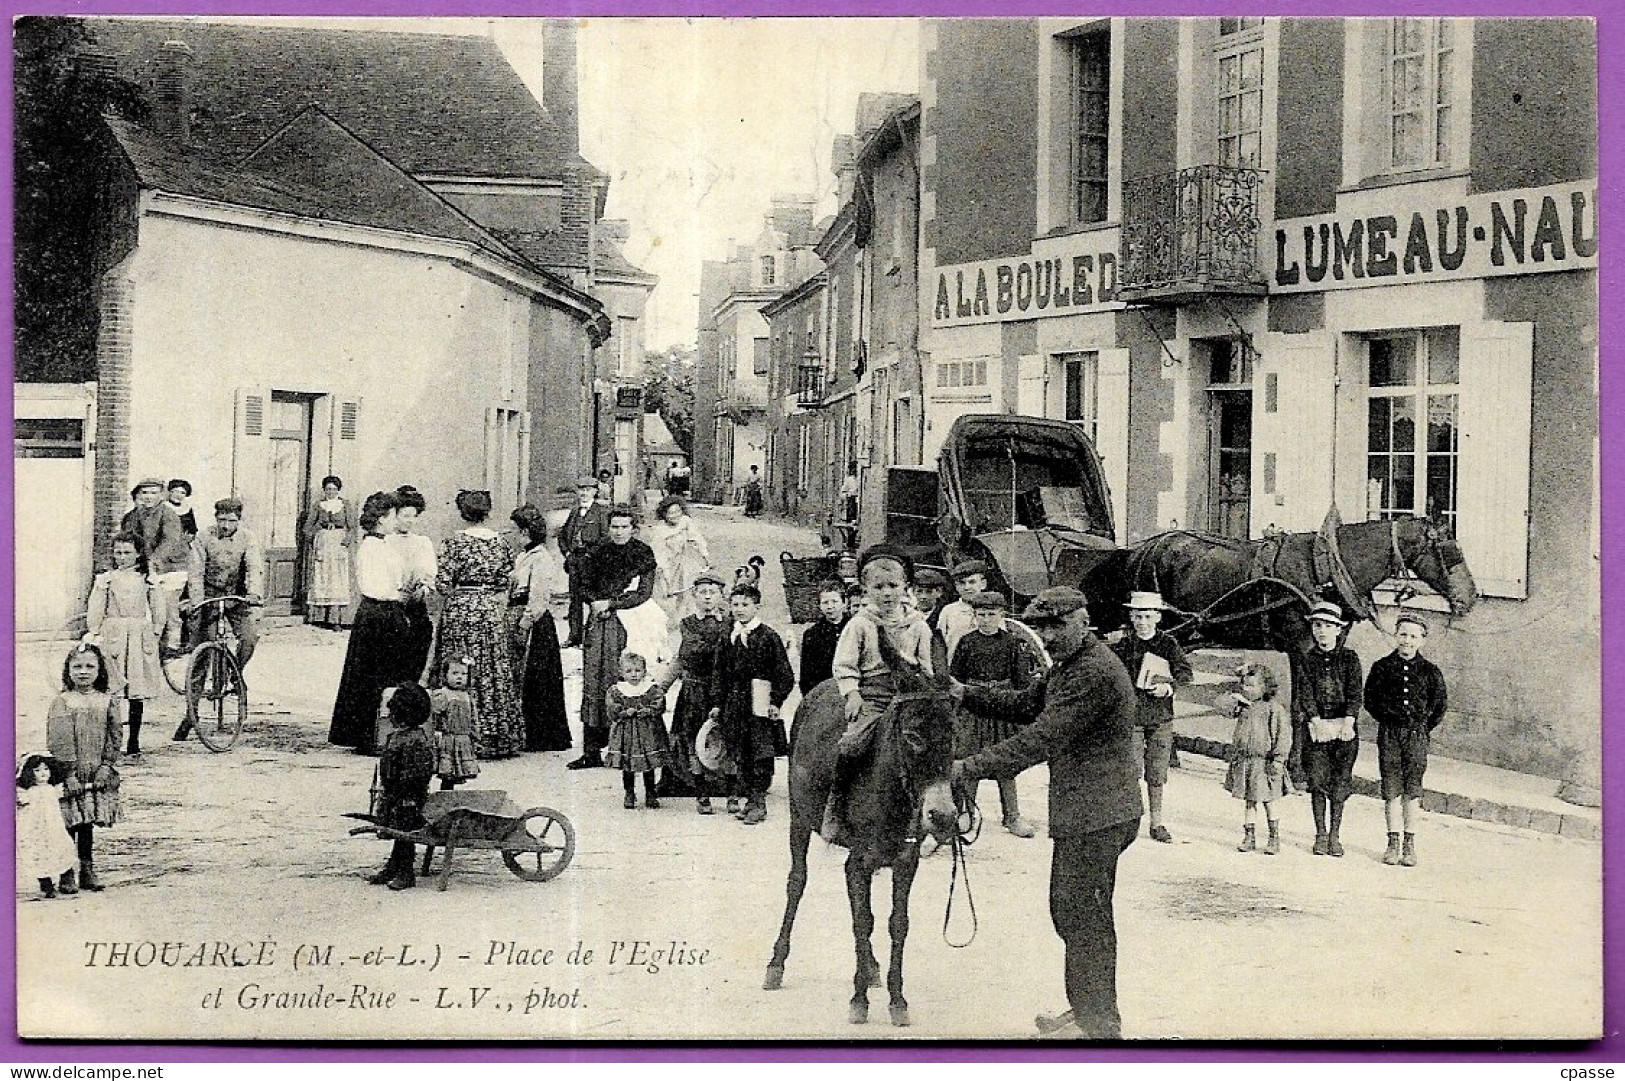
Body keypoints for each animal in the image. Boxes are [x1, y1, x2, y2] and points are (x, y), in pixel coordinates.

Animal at [763, 637, 962, 1027]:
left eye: (953, 734)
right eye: (912, 736)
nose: (943, 816)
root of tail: (821, 688)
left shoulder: (905, 862)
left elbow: (897, 923)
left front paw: (897, 1000)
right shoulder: (859, 861)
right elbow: (863, 922)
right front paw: (858, 1001)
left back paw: (870, 968)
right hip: (799, 818)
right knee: (797, 882)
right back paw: (776, 964)